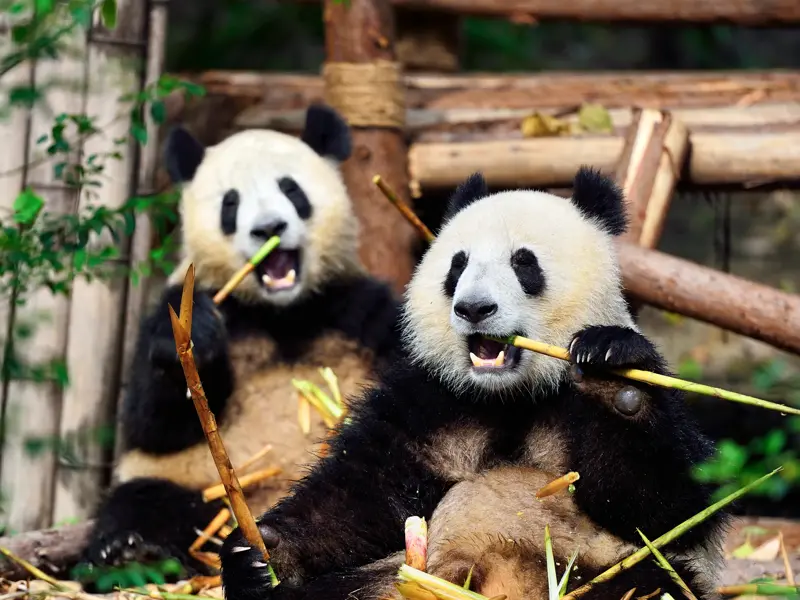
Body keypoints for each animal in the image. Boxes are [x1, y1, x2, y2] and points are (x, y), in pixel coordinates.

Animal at [78, 104, 403, 577]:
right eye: (230, 203)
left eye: (291, 189)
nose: (268, 227)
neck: (282, 312)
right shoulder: (185, 304)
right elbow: (150, 422)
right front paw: (194, 337)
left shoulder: (358, 309)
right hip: (198, 487)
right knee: (145, 501)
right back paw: (135, 552)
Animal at [217, 167, 728, 600]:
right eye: (457, 265)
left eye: (524, 263)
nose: (474, 308)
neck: (509, 395)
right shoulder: (430, 402)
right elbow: (359, 497)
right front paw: (260, 555)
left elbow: (666, 505)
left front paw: (614, 375)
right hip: (389, 578)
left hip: (602, 570)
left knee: (651, 584)